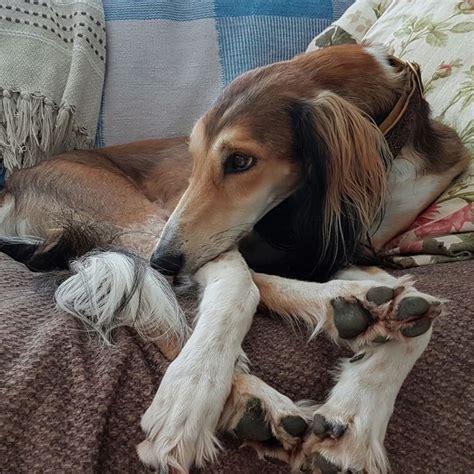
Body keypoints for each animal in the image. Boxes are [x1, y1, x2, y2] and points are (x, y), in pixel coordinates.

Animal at [0, 43, 466, 470]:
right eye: (193, 158)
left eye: (240, 160)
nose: (164, 262)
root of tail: (17, 179)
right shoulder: (207, 233)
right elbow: (240, 287)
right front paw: (190, 389)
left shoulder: (344, 250)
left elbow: (420, 318)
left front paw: (354, 423)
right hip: (140, 218)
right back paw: (258, 396)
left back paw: (362, 309)